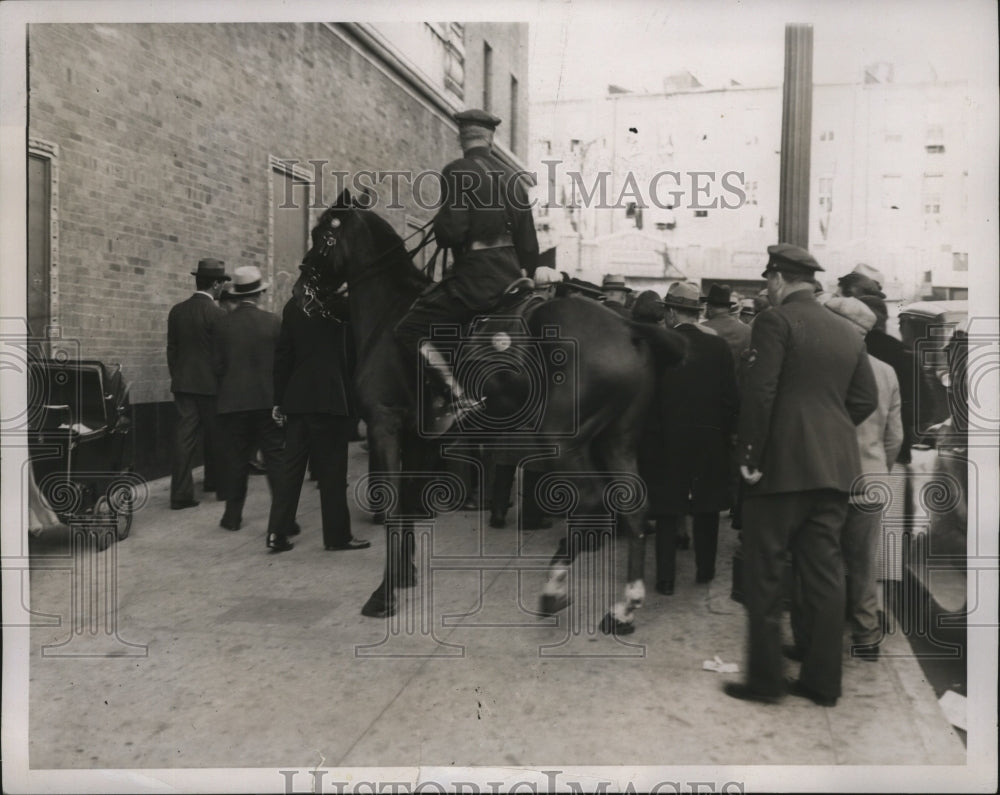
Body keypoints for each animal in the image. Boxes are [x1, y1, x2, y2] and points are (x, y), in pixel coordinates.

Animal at [294, 193, 688, 636]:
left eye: (321, 234)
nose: (302, 286)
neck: (388, 313)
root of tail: (629, 329)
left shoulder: (385, 424)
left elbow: (395, 506)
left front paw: (384, 593)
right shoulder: (419, 436)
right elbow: (409, 503)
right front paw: (405, 574)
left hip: (563, 439)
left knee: (591, 503)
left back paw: (555, 588)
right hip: (616, 439)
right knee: (634, 508)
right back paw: (623, 609)